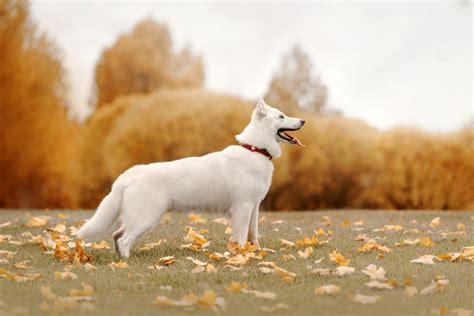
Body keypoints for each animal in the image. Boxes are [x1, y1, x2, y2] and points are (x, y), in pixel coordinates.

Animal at [77, 97, 304, 258]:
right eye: (281, 116)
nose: (303, 120)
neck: (255, 149)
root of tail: (128, 175)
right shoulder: (243, 207)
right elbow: (240, 236)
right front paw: (241, 256)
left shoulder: (254, 207)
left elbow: (253, 235)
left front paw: (255, 253)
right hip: (148, 217)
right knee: (124, 240)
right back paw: (125, 261)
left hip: (138, 216)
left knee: (117, 235)